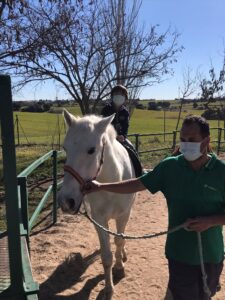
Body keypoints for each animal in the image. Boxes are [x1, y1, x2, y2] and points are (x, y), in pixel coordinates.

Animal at [57, 109, 136, 298]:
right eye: (65, 148)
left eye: (91, 150)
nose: (66, 201)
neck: (112, 184)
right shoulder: (100, 220)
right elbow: (106, 256)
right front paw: (109, 287)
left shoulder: (123, 215)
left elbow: (119, 241)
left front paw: (120, 267)